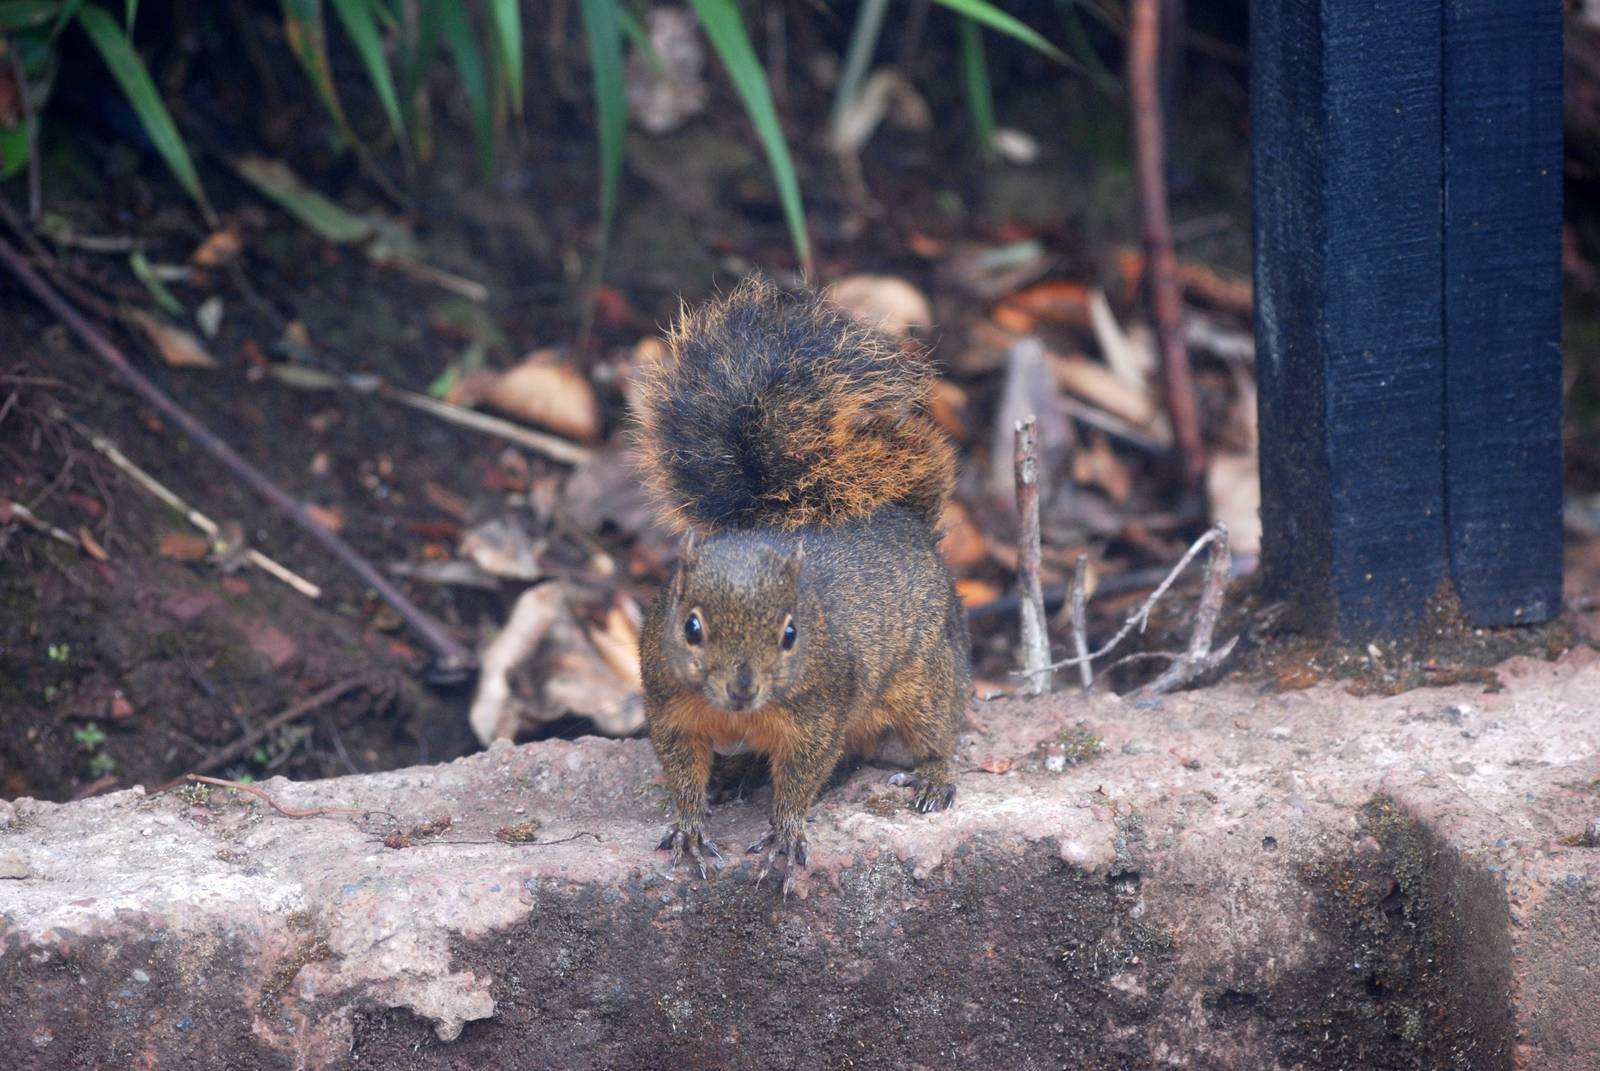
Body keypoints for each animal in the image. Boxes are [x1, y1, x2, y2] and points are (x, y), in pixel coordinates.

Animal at [634, 278, 971, 891]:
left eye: (791, 634)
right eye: (690, 627)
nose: (742, 687)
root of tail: (907, 522)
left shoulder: (819, 716)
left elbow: (803, 775)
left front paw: (785, 834)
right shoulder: (669, 705)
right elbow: (681, 770)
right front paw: (691, 826)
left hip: (927, 675)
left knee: (933, 730)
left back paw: (933, 777)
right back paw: (736, 772)